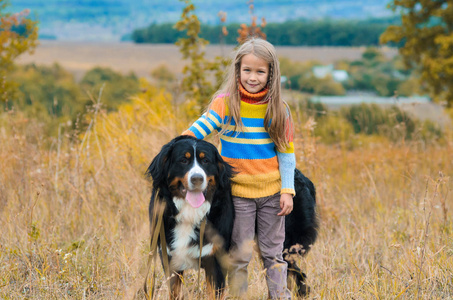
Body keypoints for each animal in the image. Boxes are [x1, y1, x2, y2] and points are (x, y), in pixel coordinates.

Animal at [146, 135, 318, 298]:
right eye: (183, 160)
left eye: (206, 161)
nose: (197, 179)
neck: (191, 212)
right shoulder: (170, 259)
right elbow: (174, 292)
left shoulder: (216, 262)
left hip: (283, 243)